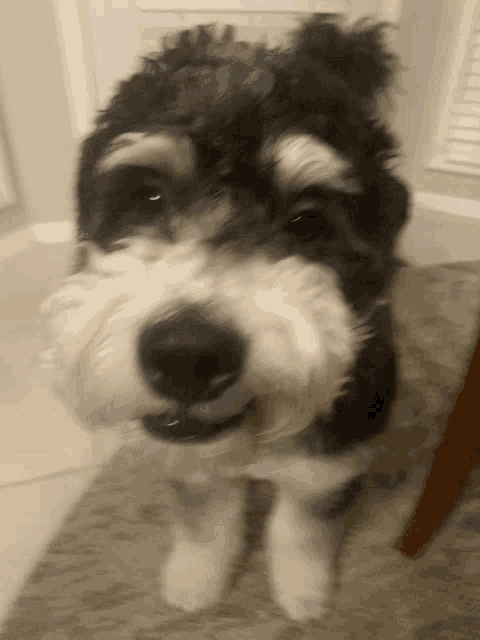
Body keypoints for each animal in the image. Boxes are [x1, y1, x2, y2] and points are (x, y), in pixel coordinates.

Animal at [40, 13, 408, 624]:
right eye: (148, 196)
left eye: (307, 222)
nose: (187, 355)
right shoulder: (193, 463)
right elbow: (204, 521)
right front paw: (195, 583)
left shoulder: (330, 460)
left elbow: (301, 528)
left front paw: (302, 593)